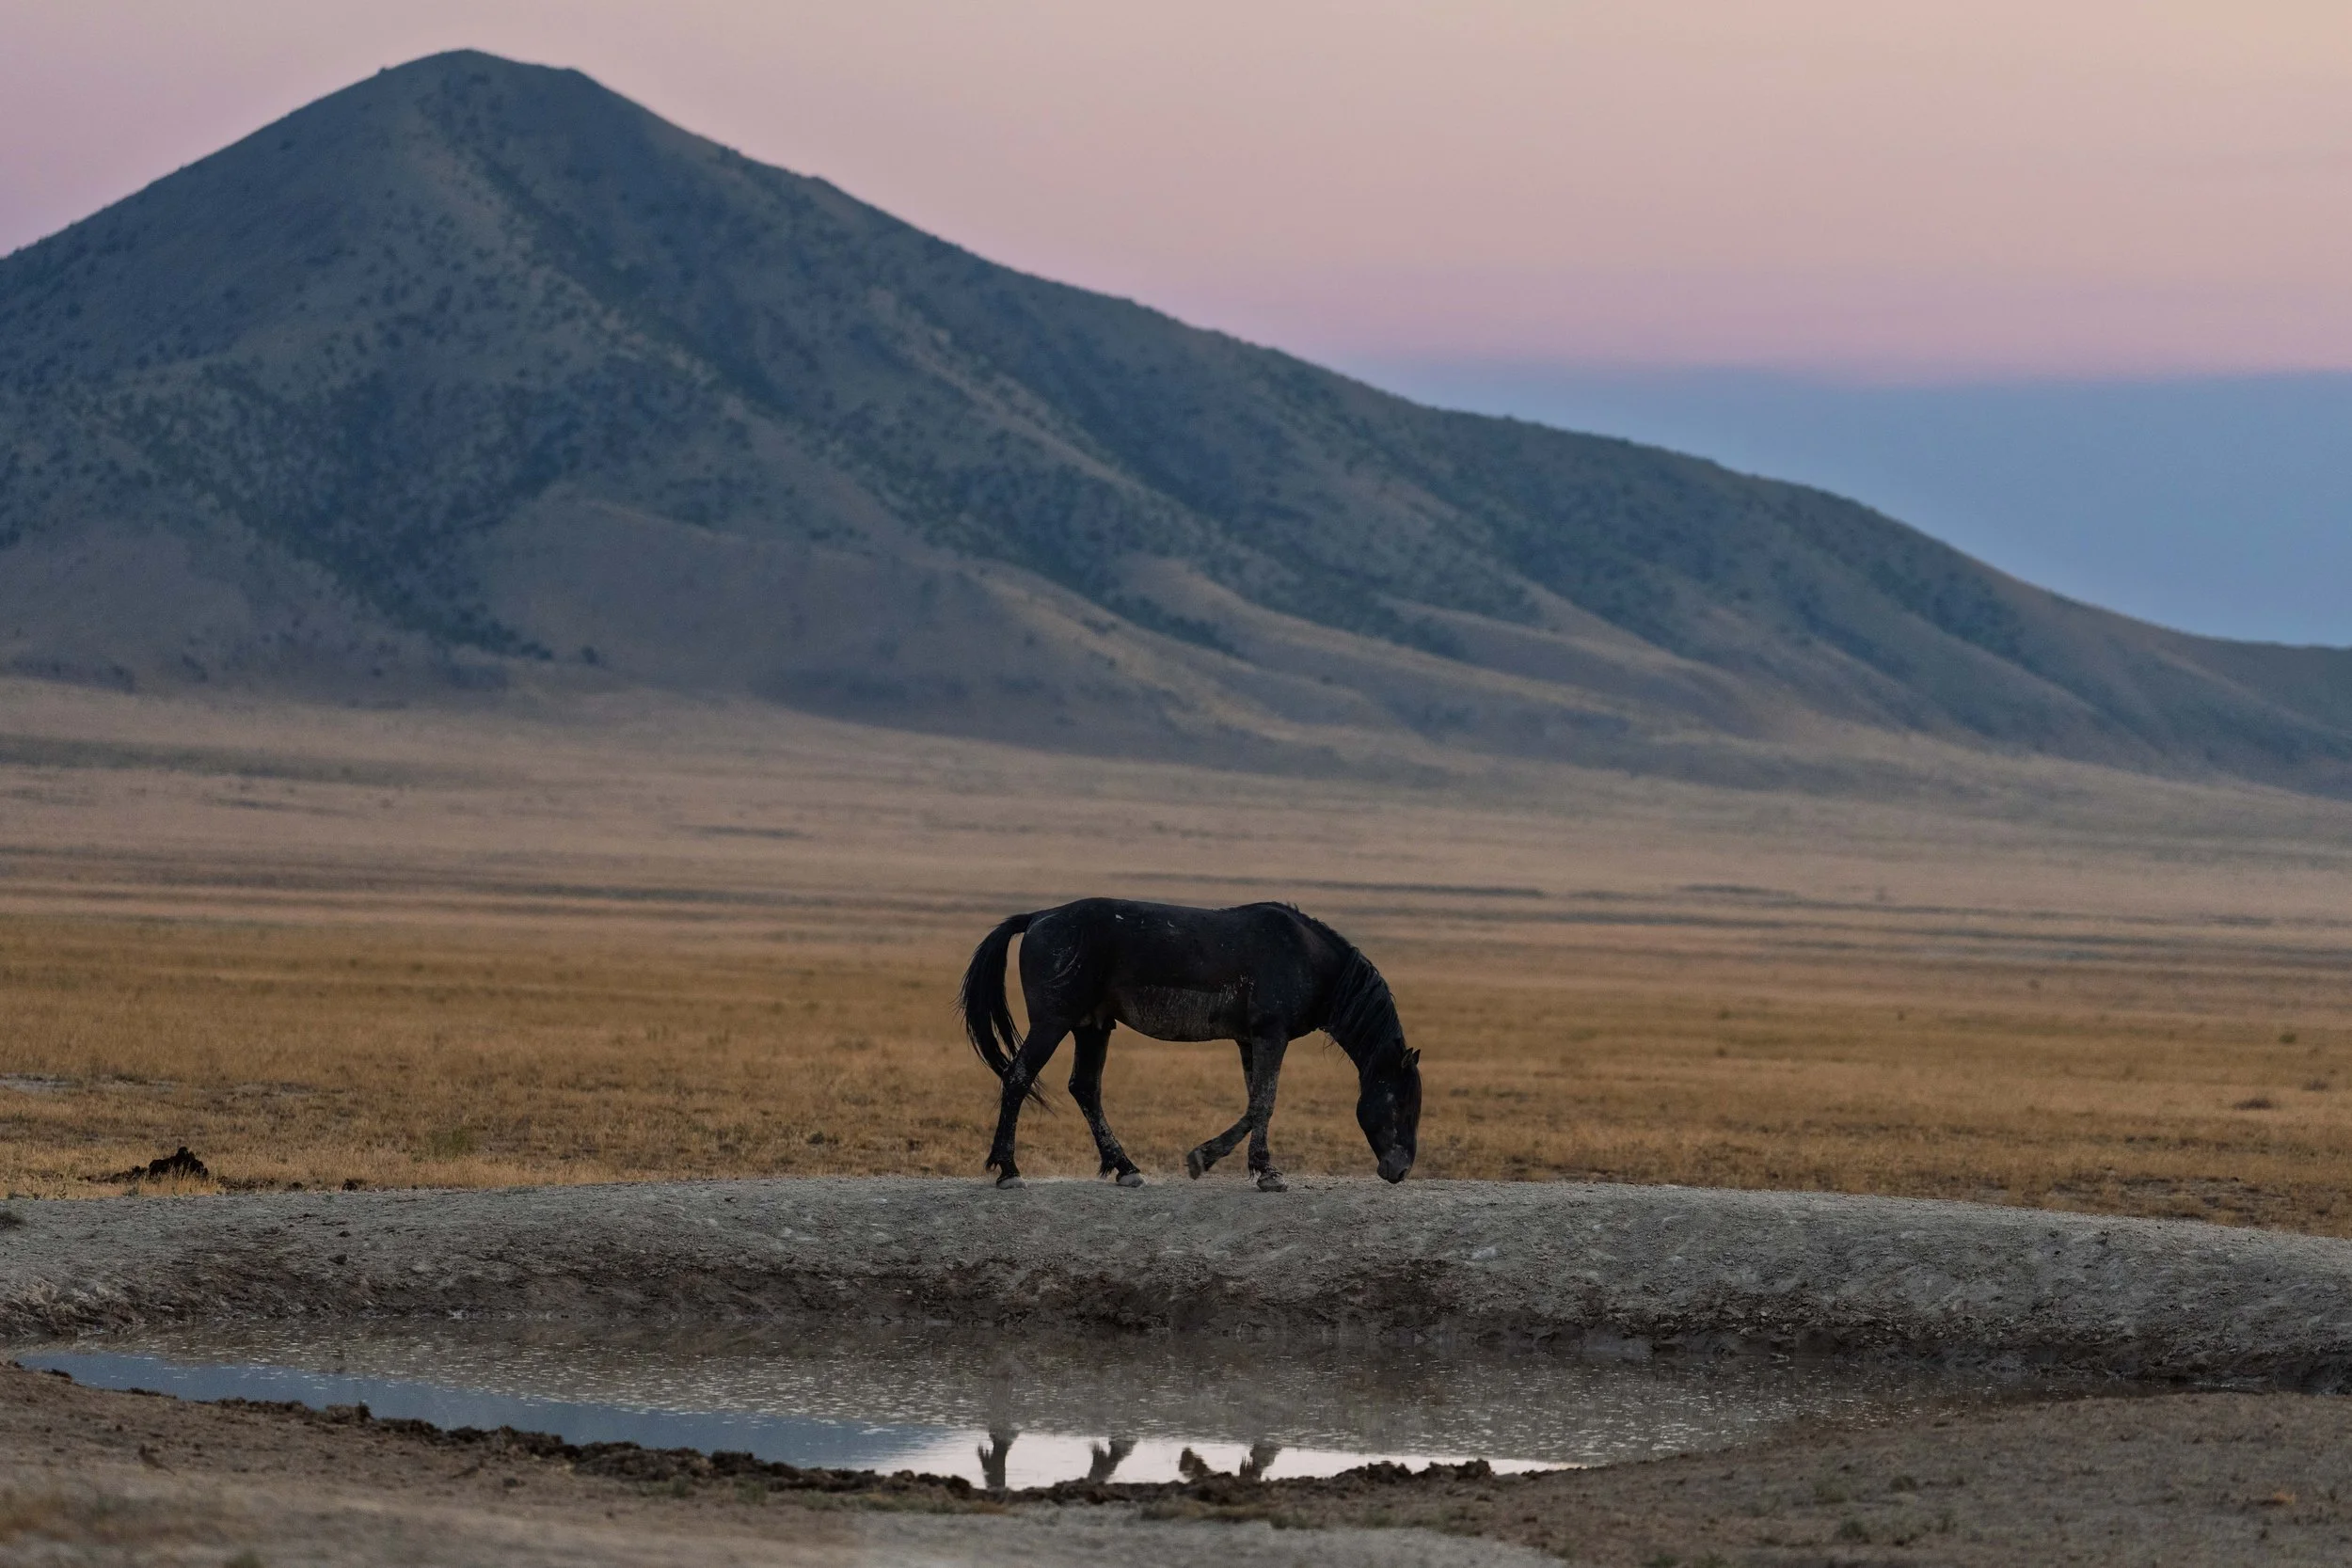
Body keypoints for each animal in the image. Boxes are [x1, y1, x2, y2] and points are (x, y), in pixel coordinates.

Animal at [957, 898, 1422, 1190]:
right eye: (1401, 1103)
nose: (1400, 1170)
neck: (1307, 957)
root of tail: (1038, 917)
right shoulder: (1271, 1035)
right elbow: (1264, 1102)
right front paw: (1231, 1164)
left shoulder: (1250, 1040)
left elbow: (1256, 1101)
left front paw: (1254, 1167)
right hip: (1053, 1024)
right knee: (1018, 1078)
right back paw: (1009, 1171)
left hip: (1093, 1026)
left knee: (1085, 1088)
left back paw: (1126, 1168)